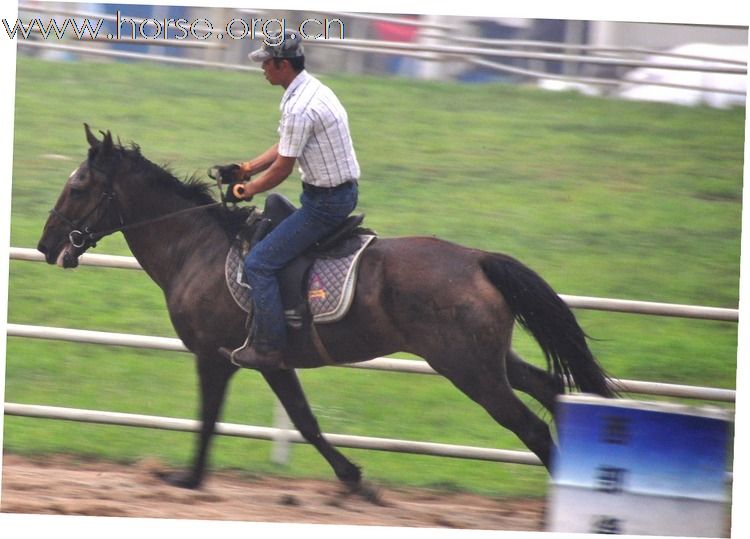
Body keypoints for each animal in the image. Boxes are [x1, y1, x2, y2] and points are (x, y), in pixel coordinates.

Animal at [36, 126, 616, 494]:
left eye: (79, 186)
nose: (45, 245)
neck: (196, 247)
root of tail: (477, 259)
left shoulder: (215, 357)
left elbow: (209, 419)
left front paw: (190, 479)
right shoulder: (269, 361)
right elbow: (306, 421)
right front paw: (353, 478)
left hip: (470, 370)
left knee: (532, 427)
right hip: (490, 360)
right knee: (552, 391)